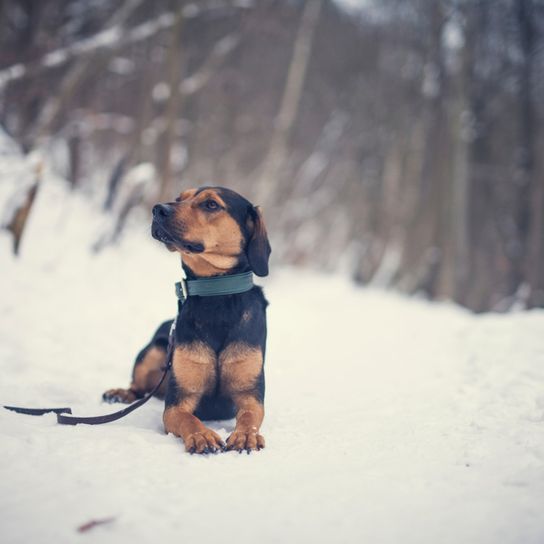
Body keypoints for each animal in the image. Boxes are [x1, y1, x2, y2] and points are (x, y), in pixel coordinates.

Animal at [101, 188, 270, 454]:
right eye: (180, 198)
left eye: (211, 204)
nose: (158, 209)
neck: (216, 295)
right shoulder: (178, 401)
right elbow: (187, 419)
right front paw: (202, 435)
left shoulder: (250, 394)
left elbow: (249, 416)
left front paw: (246, 435)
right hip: (154, 349)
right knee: (138, 388)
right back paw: (120, 394)